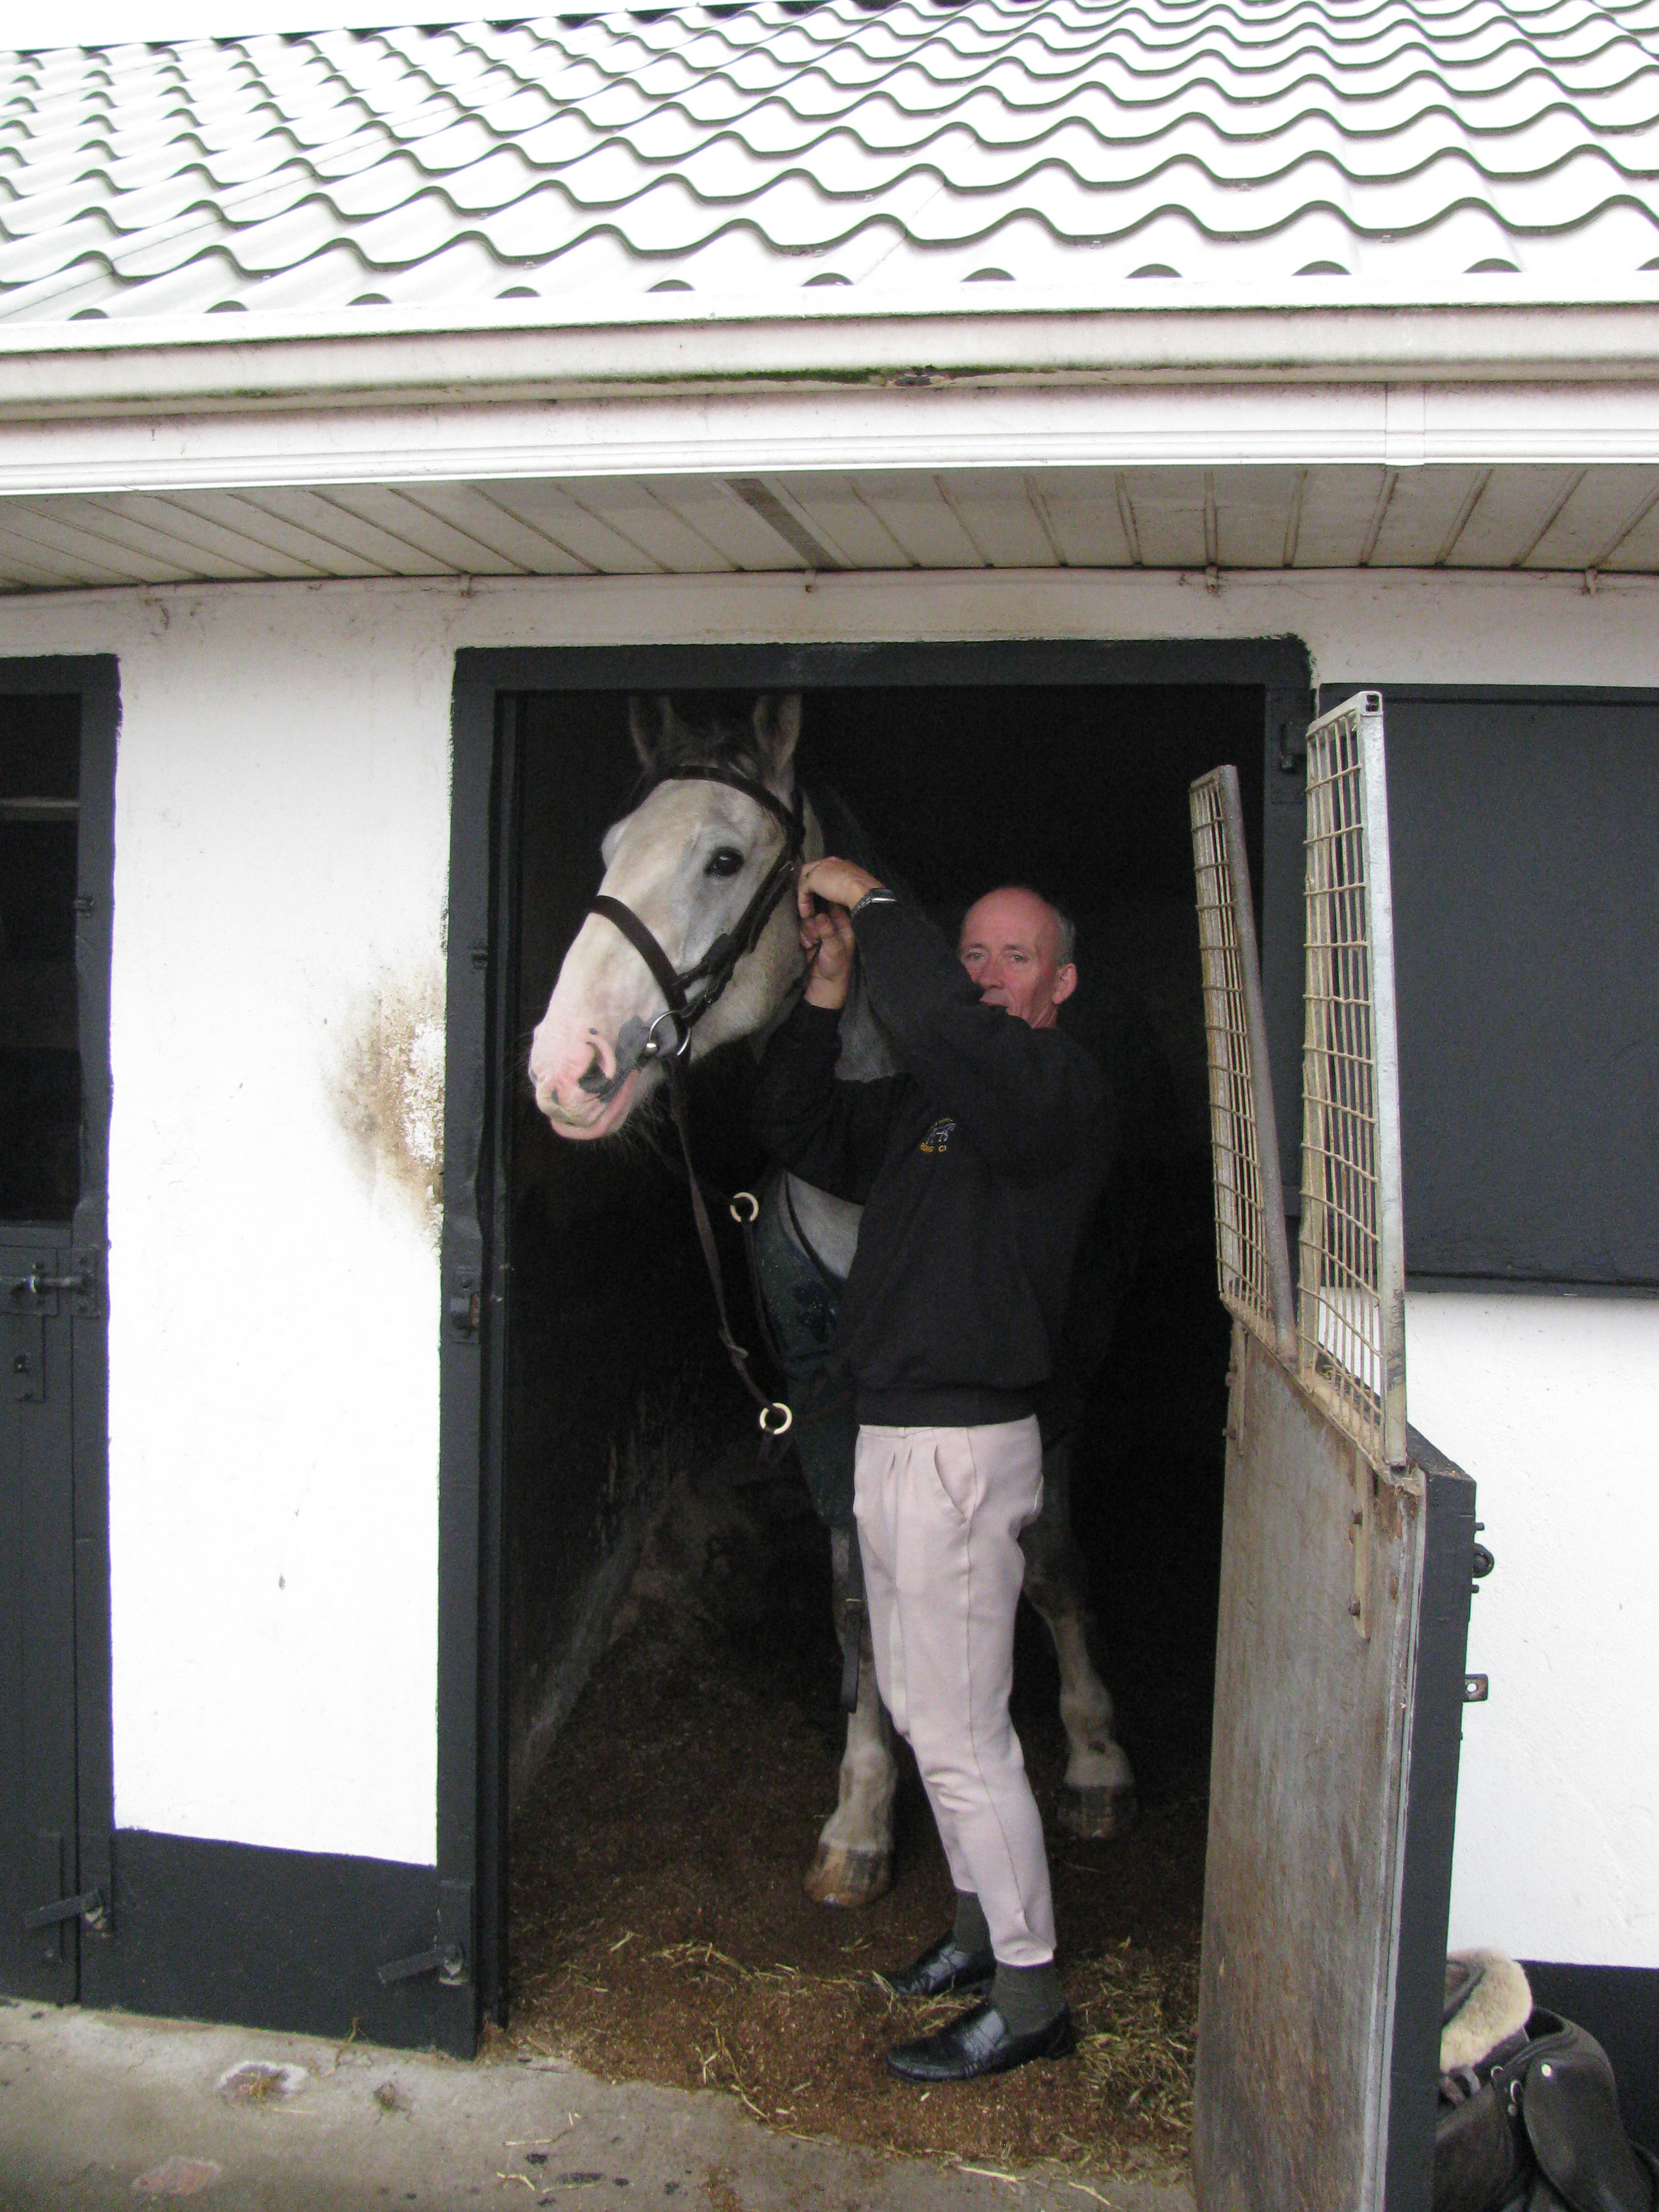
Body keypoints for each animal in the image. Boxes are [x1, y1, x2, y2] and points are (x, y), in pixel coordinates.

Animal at [528, 690, 1138, 1908]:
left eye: (723, 858)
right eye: (609, 851)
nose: (564, 1068)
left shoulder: (1043, 1396)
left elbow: (1048, 1561)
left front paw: (1094, 1754)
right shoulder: (823, 1396)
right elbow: (858, 1597)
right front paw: (862, 1808)